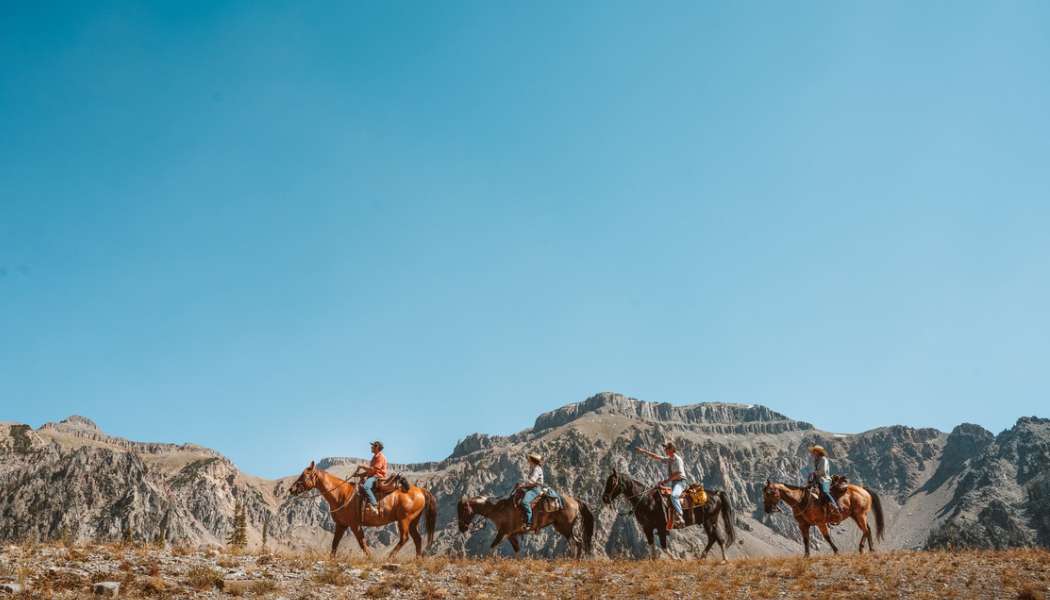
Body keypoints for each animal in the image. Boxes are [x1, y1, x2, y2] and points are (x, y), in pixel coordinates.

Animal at [289, 464, 436, 559]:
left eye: (305, 475)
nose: (291, 489)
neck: (341, 494)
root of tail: (421, 490)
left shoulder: (355, 524)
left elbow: (362, 542)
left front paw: (370, 558)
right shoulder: (341, 525)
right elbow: (335, 543)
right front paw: (331, 559)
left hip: (404, 520)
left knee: (404, 538)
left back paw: (390, 557)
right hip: (413, 521)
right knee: (417, 539)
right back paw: (417, 560)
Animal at [455, 493, 596, 559]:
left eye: (463, 510)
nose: (462, 528)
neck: (498, 510)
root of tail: (574, 500)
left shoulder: (503, 532)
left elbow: (492, 547)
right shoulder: (511, 535)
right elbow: (517, 551)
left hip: (565, 527)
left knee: (576, 542)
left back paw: (573, 560)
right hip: (565, 528)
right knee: (577, 542)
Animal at [600, 472, 739, 563]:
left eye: (612, 482)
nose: (605, 498)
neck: (646, 500)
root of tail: (716, 493)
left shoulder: (661, 527)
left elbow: (663, 546)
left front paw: (676, 559)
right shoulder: (647, 527)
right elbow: (651, 544)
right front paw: (654, 560)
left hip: (710, 521)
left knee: (717, 538)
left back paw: (723, 559)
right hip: (708, 522)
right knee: (713, 538)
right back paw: (703, 557)